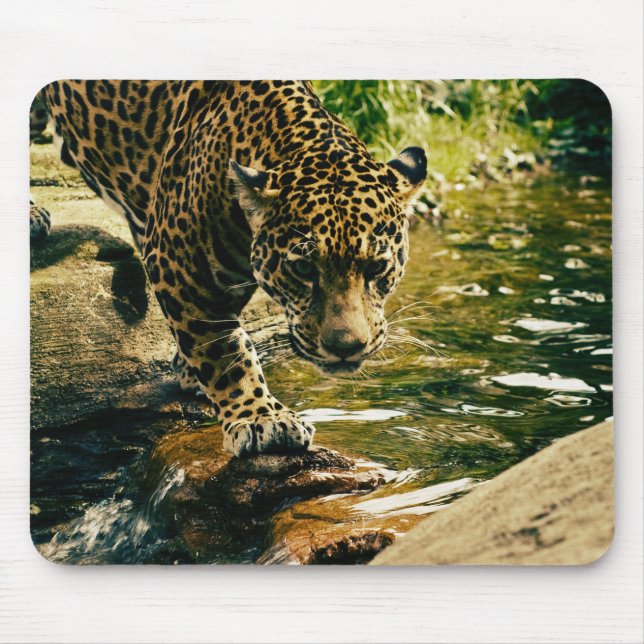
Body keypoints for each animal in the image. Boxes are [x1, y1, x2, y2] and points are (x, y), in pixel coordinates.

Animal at [30, 80, 427, 457]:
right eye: (303, 270)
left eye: (376, 268)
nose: (346, 347)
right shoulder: (179, 262)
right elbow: (225, 350)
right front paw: (262, 419)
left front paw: (188, 370)